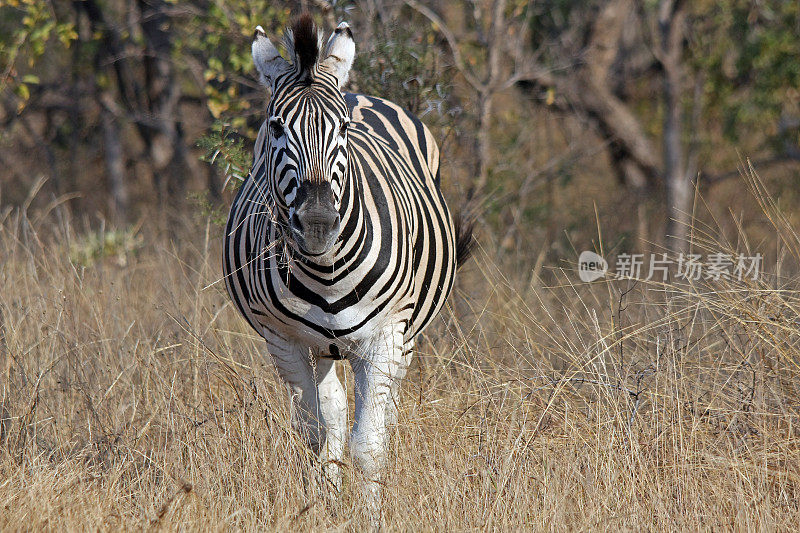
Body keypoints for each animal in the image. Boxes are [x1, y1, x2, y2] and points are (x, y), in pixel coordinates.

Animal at [222, 14, 472, 512]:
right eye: (276, 127)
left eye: (340, 129)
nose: (317, 225)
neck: (326, 273)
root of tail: (356, 89)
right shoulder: (284, 341)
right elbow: (319, 436)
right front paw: (322, 508)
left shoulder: (387, 335)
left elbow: (369, 445)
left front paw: (369, 514)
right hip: (322, 348)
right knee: (335, 415)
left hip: (403, 339)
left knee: (382, 412)